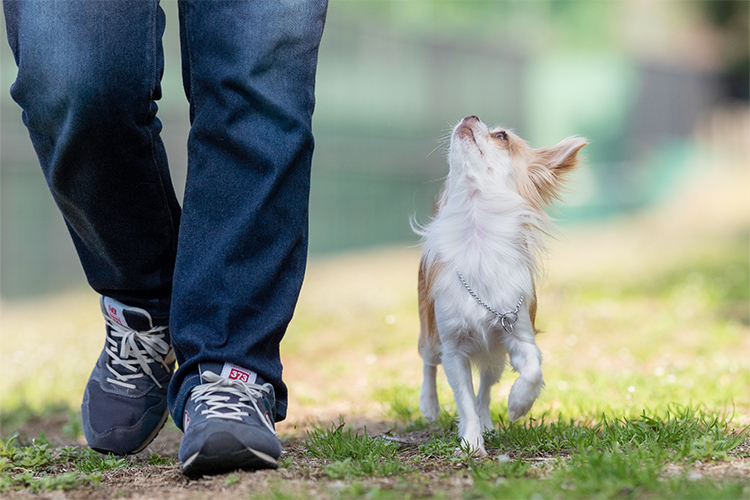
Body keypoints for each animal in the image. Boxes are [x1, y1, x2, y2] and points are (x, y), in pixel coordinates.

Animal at [418, 115, 588, 456]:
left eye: (502, 136)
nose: (470, 116)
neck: (478, 241)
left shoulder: (517, 335)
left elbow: (533, 369)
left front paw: (518, 404)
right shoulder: (453, 350)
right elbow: (463, 400)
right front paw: (471, 442)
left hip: (493, 355)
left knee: (485, 387)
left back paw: (488, 421)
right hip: (429, 332)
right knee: (429, 363)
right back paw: (429, 404)